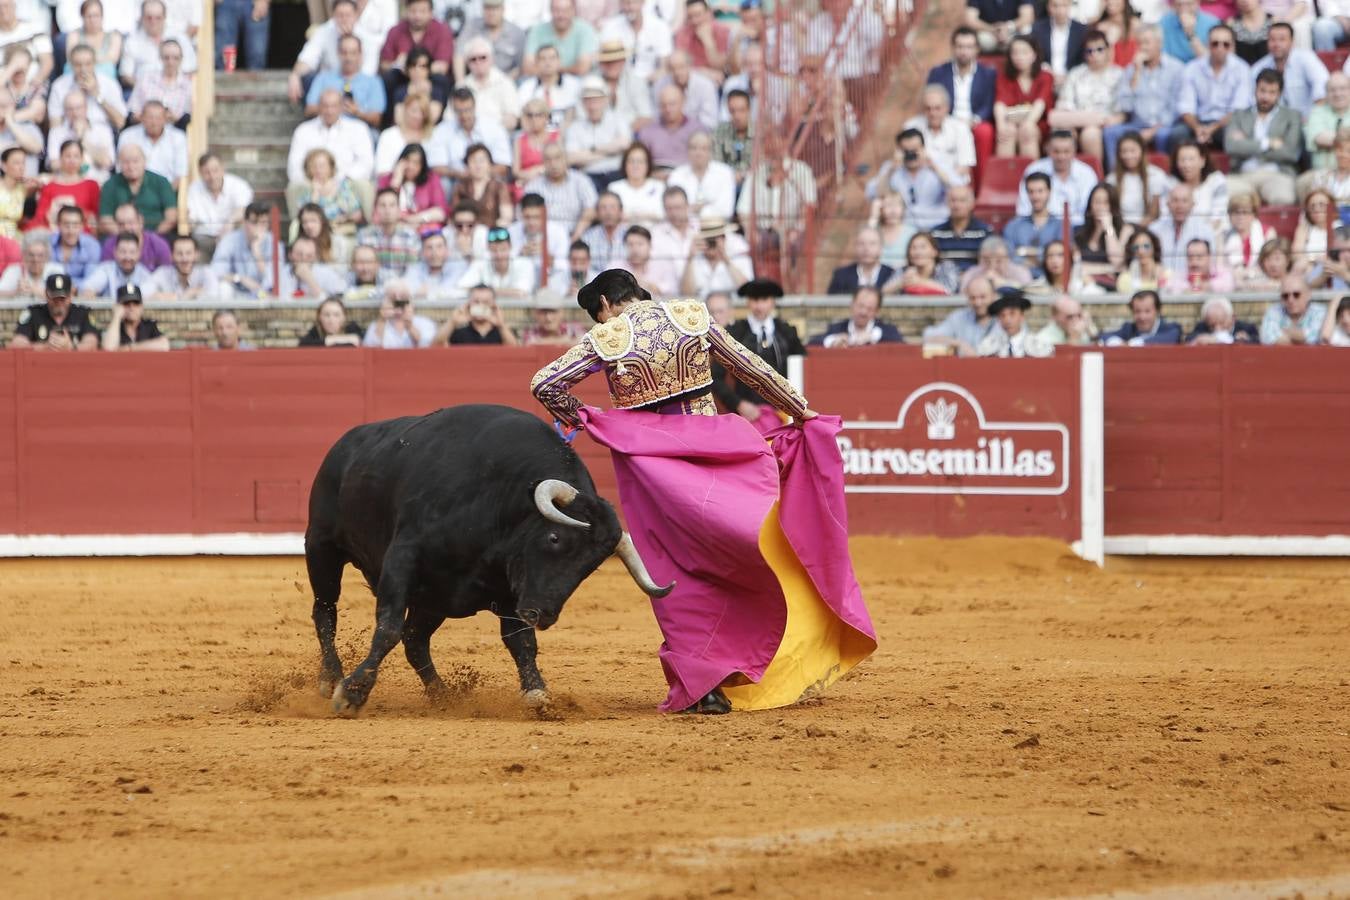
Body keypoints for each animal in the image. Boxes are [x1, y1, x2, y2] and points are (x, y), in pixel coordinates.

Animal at [301, 404, 669, 712]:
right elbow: (387, 628)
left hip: (433, 599)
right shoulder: (402, 559)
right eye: (554, 538)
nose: (543, 615)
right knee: (325, 611)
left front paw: (536, 692)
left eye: (590, 567)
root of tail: (346, 443)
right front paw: (352, 692)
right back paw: (330, 678)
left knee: (415, 640)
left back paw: (442, 694)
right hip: (322, 547)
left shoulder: (510, 592)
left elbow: (521, 642)